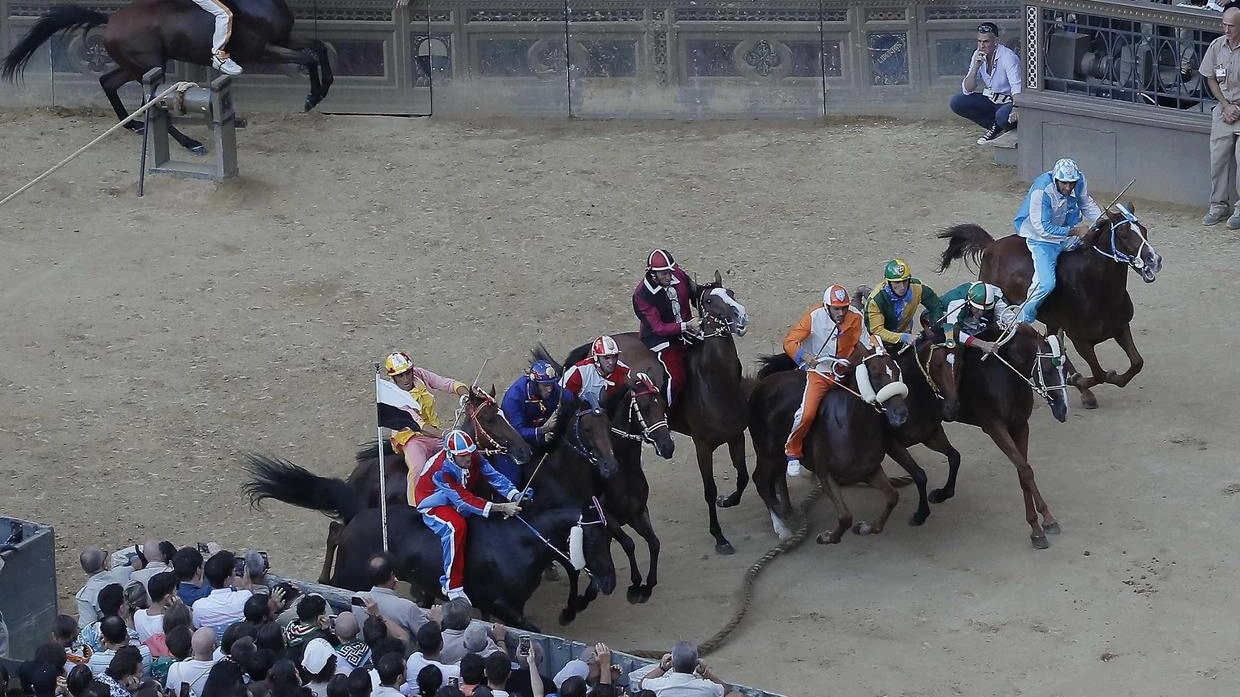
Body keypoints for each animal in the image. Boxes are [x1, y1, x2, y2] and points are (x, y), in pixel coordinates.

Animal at [1, 0, 334, 151]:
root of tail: (110, 20)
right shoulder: (263, 50)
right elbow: (309, 56)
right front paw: (311, 98)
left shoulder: (284, 39)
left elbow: (318, 48)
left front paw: (320, 92)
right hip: (153, 68)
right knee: (150, 101)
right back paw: (190, 143)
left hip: (138, 66)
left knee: (108, 82)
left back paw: (133, 126)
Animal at [243, 396, 624, 630]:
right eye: (587, 429)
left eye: (608, 426)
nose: (609, 582)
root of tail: (359, 477)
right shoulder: (503, 602)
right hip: (352, 567)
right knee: (335, 545)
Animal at [567, 271, 748, 553]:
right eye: (708, 301)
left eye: (731, 293)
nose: (741, 317)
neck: (717, 385)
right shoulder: (703, 447)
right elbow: (709, 490)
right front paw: (719, 536)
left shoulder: (736, 435)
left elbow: (743, 476)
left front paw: (728, 500)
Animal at [744, 339, 912, 545]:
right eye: (875, 374)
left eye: (896, 371)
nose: (901, 414)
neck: (850, 426)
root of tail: (760, 385)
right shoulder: (826, 474)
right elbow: (845, 517)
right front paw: (827, 537)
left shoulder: (869, 470)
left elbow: (892, 497)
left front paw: (865, 527)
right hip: (765, 452)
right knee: (760, 480)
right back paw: (782, 528)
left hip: (776, 454)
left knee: (778, 476)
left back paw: (788, 511)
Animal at [937, 202, 1160, 406]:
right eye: (1123, 233)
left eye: (1144, 230)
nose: (1154, 260)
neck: (1095, 289)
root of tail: (992, 245)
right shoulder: (1080, 339)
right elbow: (1099, 373)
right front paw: (1080, 379)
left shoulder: (1120, 327)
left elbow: (1136, 363)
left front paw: (1102, 379)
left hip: (1053, 321)